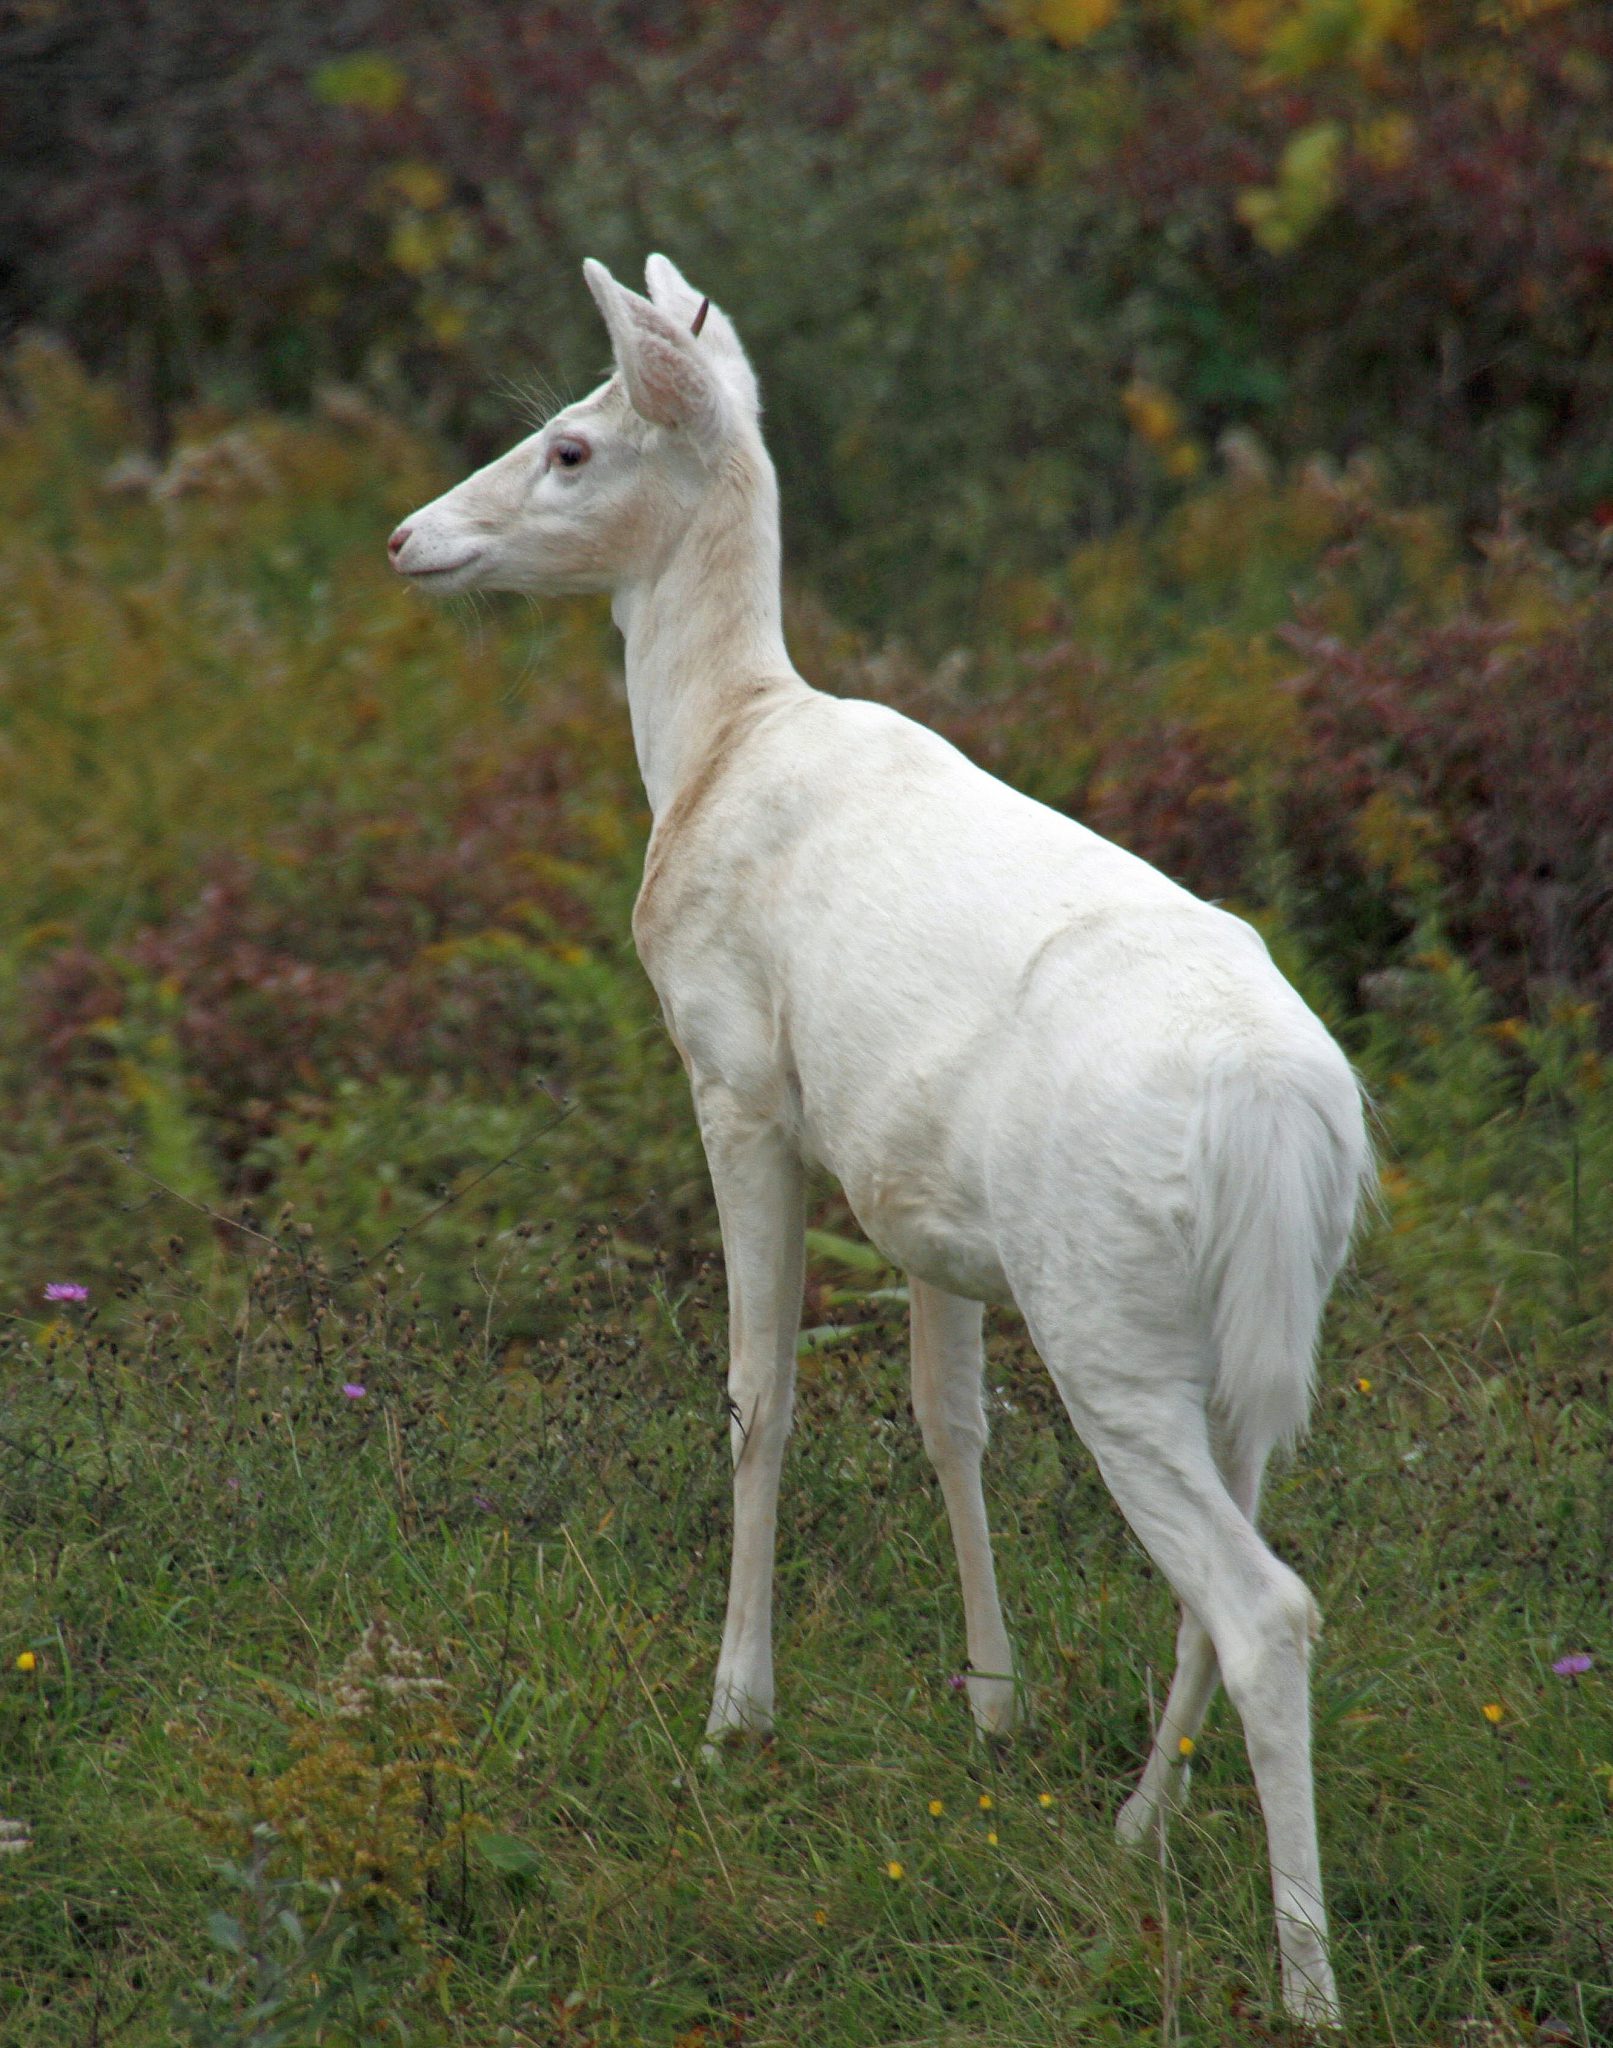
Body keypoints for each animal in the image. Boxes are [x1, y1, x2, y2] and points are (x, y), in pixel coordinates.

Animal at [386, 260, 1359, 2031]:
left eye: (569, 444)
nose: (410, 538)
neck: (711, 750)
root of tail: (1282, 1120)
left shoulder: (738, 1080)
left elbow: (757, 1395)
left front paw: (735, 1713)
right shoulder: (919, 1200)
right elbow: (946, 1421)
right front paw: (992, 1702)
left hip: (1105, 1312)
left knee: (1267, 1606)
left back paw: (1301, 1980)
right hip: (1257, 1333)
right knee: (1237, 1567)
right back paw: (1138, 1822)